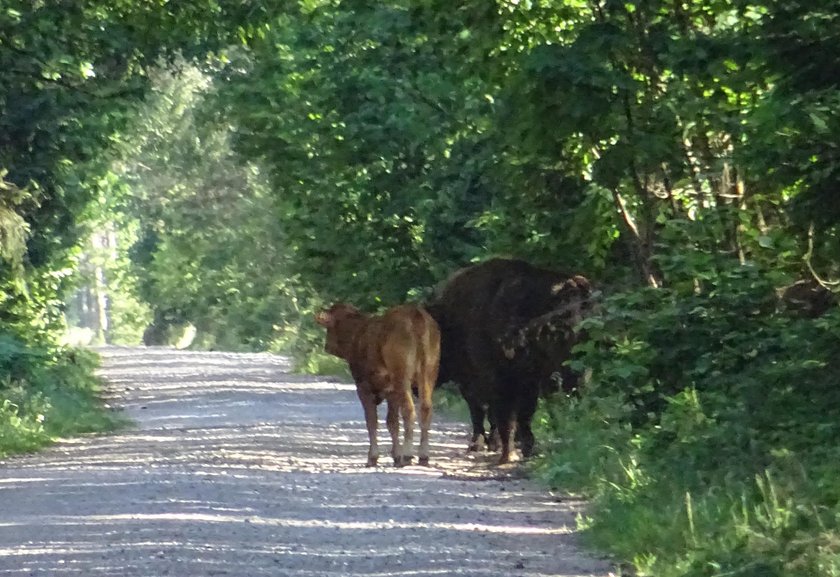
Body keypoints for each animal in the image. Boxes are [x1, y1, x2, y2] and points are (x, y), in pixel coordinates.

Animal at [312, 304, 436, 466]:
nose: (327, 346)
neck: (356, 334)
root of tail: (415, 313)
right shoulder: (390, 391)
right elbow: (392, 422)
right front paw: (396, 455)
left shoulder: (363, 387)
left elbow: (372, 421)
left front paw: (373, 456)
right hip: (429, 374)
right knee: (426, 408)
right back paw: (423, 455)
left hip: (402, 377)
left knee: (409, 410)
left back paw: (408, 454)